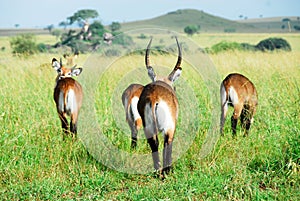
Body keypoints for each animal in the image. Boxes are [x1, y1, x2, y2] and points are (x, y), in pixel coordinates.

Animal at [137, 37, 182, 177]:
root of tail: (154, 97)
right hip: (168, 127)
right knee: (166, 142)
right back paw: (166, 171)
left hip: (148, 127)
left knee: (153, 142)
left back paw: (157, 171)